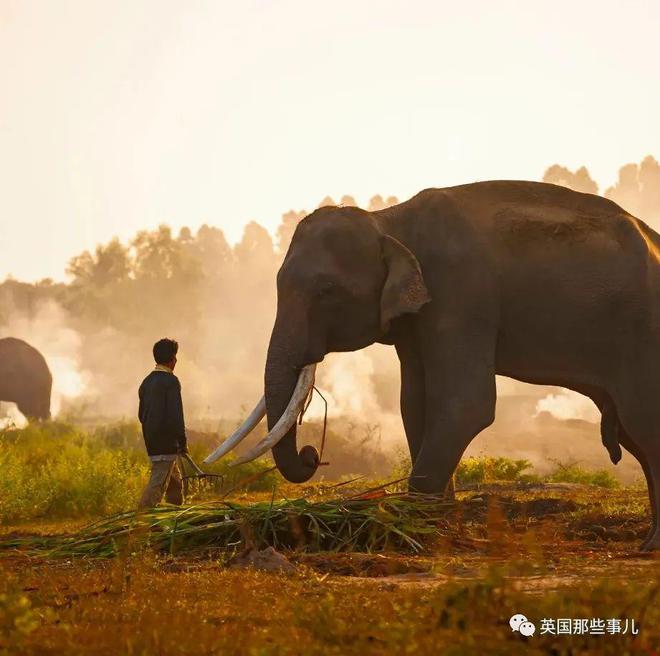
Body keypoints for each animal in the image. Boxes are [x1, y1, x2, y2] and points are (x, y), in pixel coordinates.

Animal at [206, 181, 660, 552]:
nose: (311, 453)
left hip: (641, 333)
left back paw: (650, 547)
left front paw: (408, 530)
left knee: (642, 422)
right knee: (635, 435)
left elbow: (465, 405)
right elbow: (415, 404)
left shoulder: (461, 295)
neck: (390, 219)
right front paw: (436, 527)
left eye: (327, 290)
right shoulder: (417, 321)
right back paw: (648, 545)